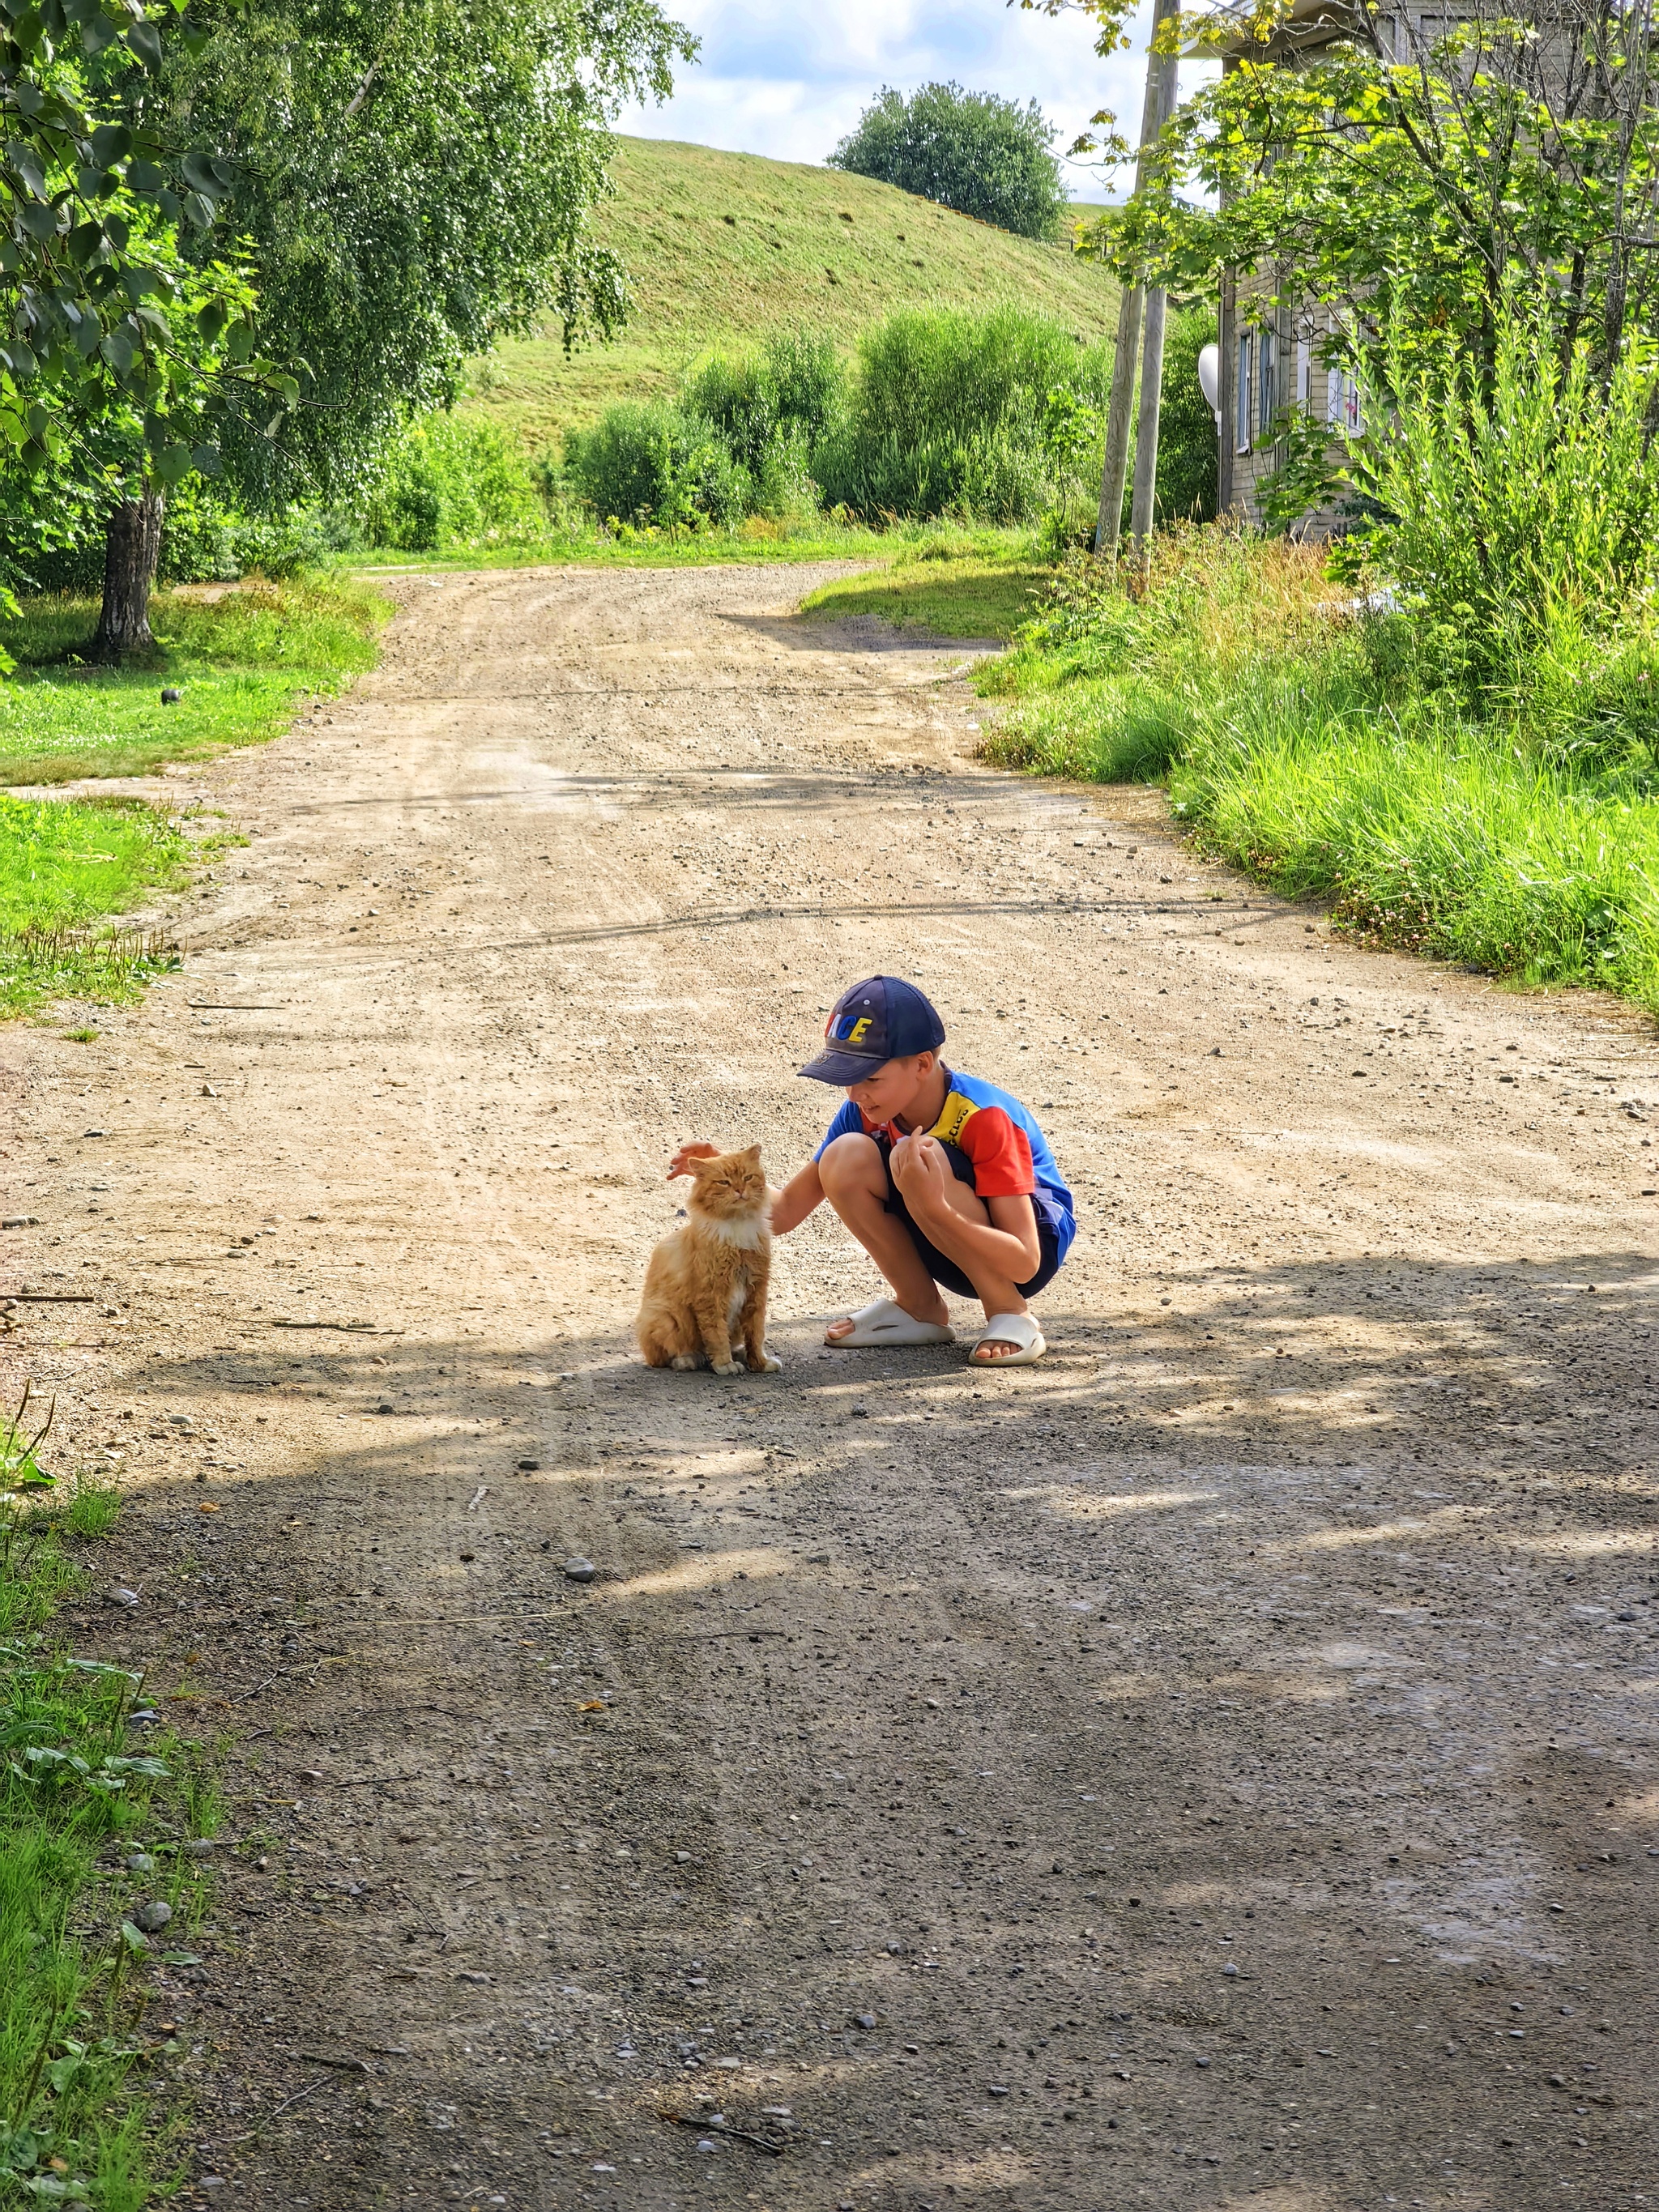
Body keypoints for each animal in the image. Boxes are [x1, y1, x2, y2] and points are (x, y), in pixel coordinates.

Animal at [641, 1150, 787, 1371]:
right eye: (724, 1182)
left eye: (747, 1177)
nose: (739, 1190)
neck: (737, 1224)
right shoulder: (711, 1294)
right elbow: (717, 1334)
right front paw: (724, 1364)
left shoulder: (756, 1290)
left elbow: (756, 1334)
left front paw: (760, 1363)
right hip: (666, 1317)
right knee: (666, 1357)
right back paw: (690, 1360)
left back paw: (739, 1354)